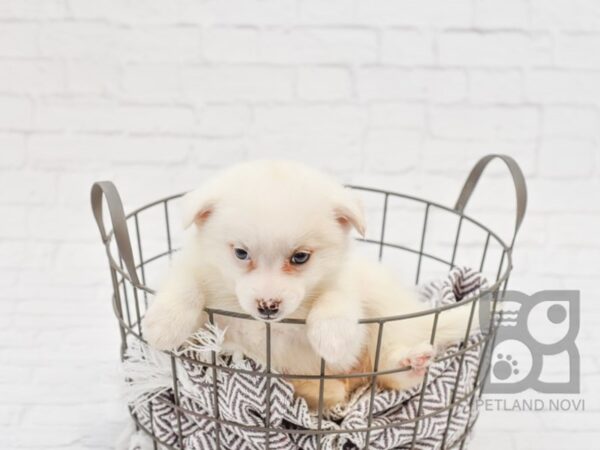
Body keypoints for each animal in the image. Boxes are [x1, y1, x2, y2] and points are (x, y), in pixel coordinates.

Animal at [143, 161, 476, 408]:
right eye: (241, 253)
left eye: (300, 257)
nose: (268, 306)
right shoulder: (203, 295)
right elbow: (186, 283)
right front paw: (164, 324)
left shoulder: (344, 285)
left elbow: (337, 297)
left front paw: (332, 335)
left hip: (388, 319)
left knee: (388, 370)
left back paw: (410, 363)